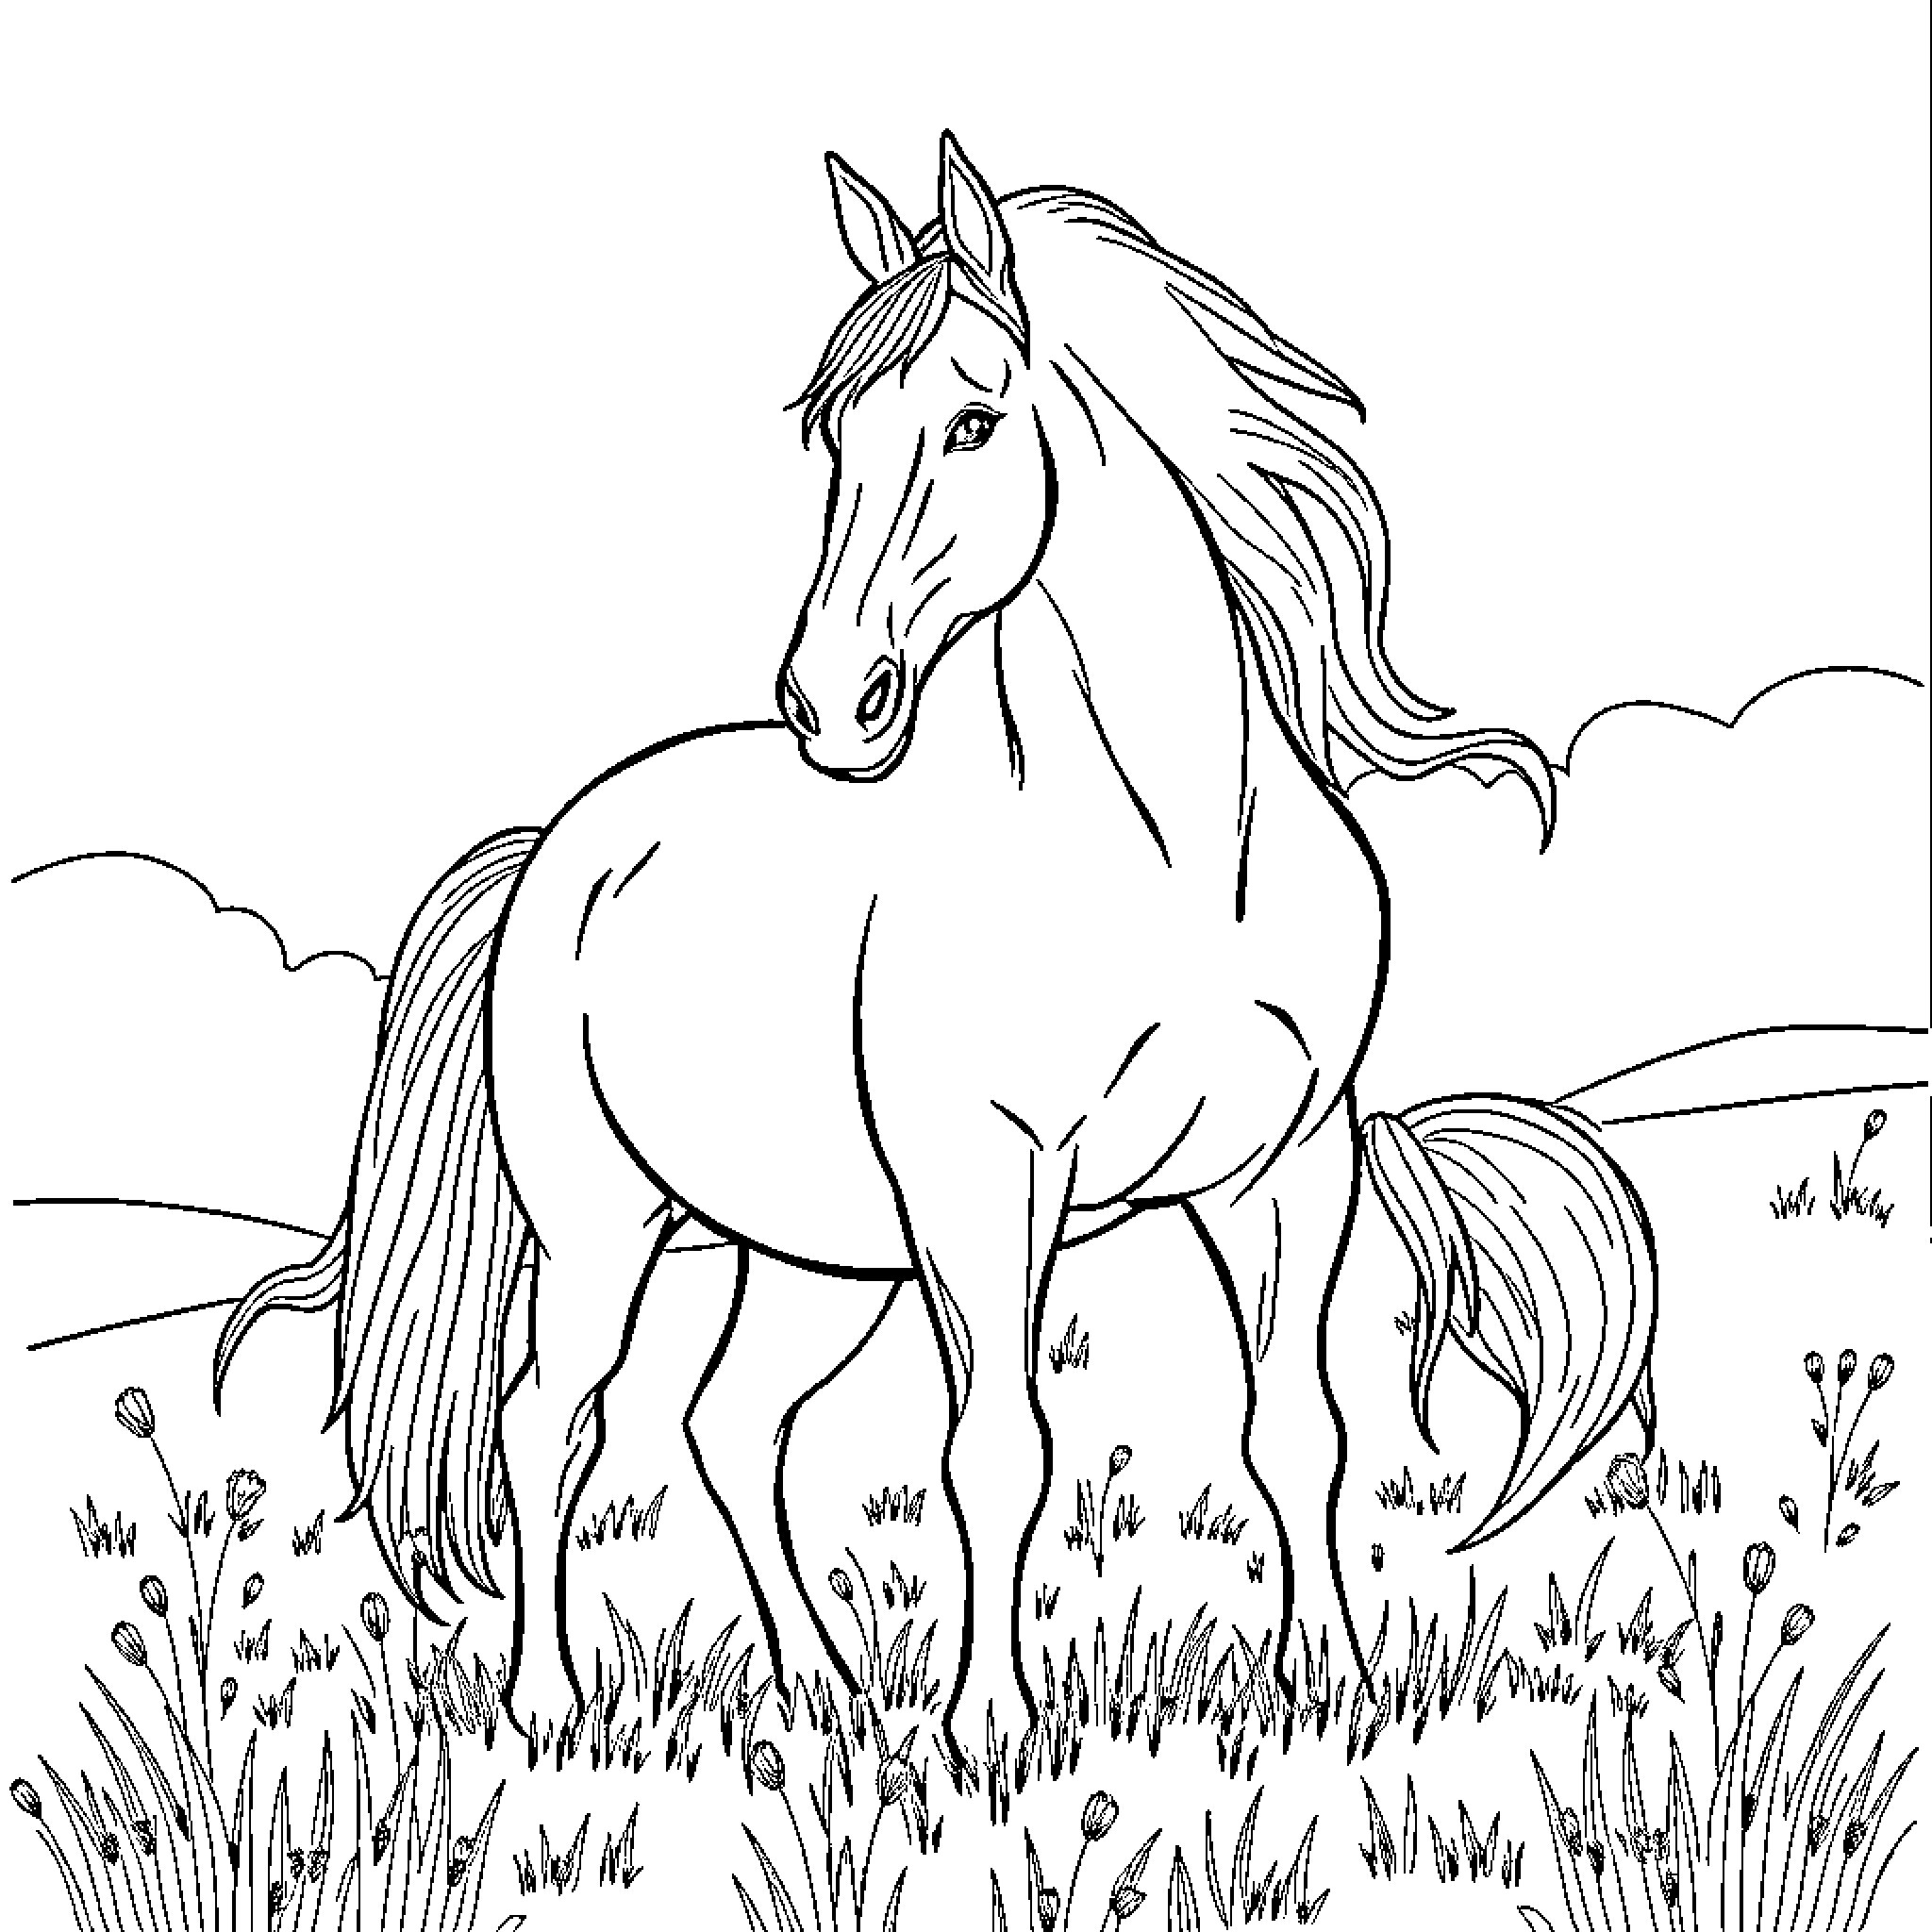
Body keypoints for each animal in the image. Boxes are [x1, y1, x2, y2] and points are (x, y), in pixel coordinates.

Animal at [214, 133, 1659, 1764]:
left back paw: (823, 1694)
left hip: (812, 1252)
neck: (1174, 871)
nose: (832, 700)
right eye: (833, 432)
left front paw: (1334, 1696)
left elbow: (1296, 1427)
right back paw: (553, 1705)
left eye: (975, 421)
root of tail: (559, 846)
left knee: (730, 1426)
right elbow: (1000, 1450)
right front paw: (993, 1733)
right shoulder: (989, 1184)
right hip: (601, 1224)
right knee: (550, 1421)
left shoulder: (1286, 1171)